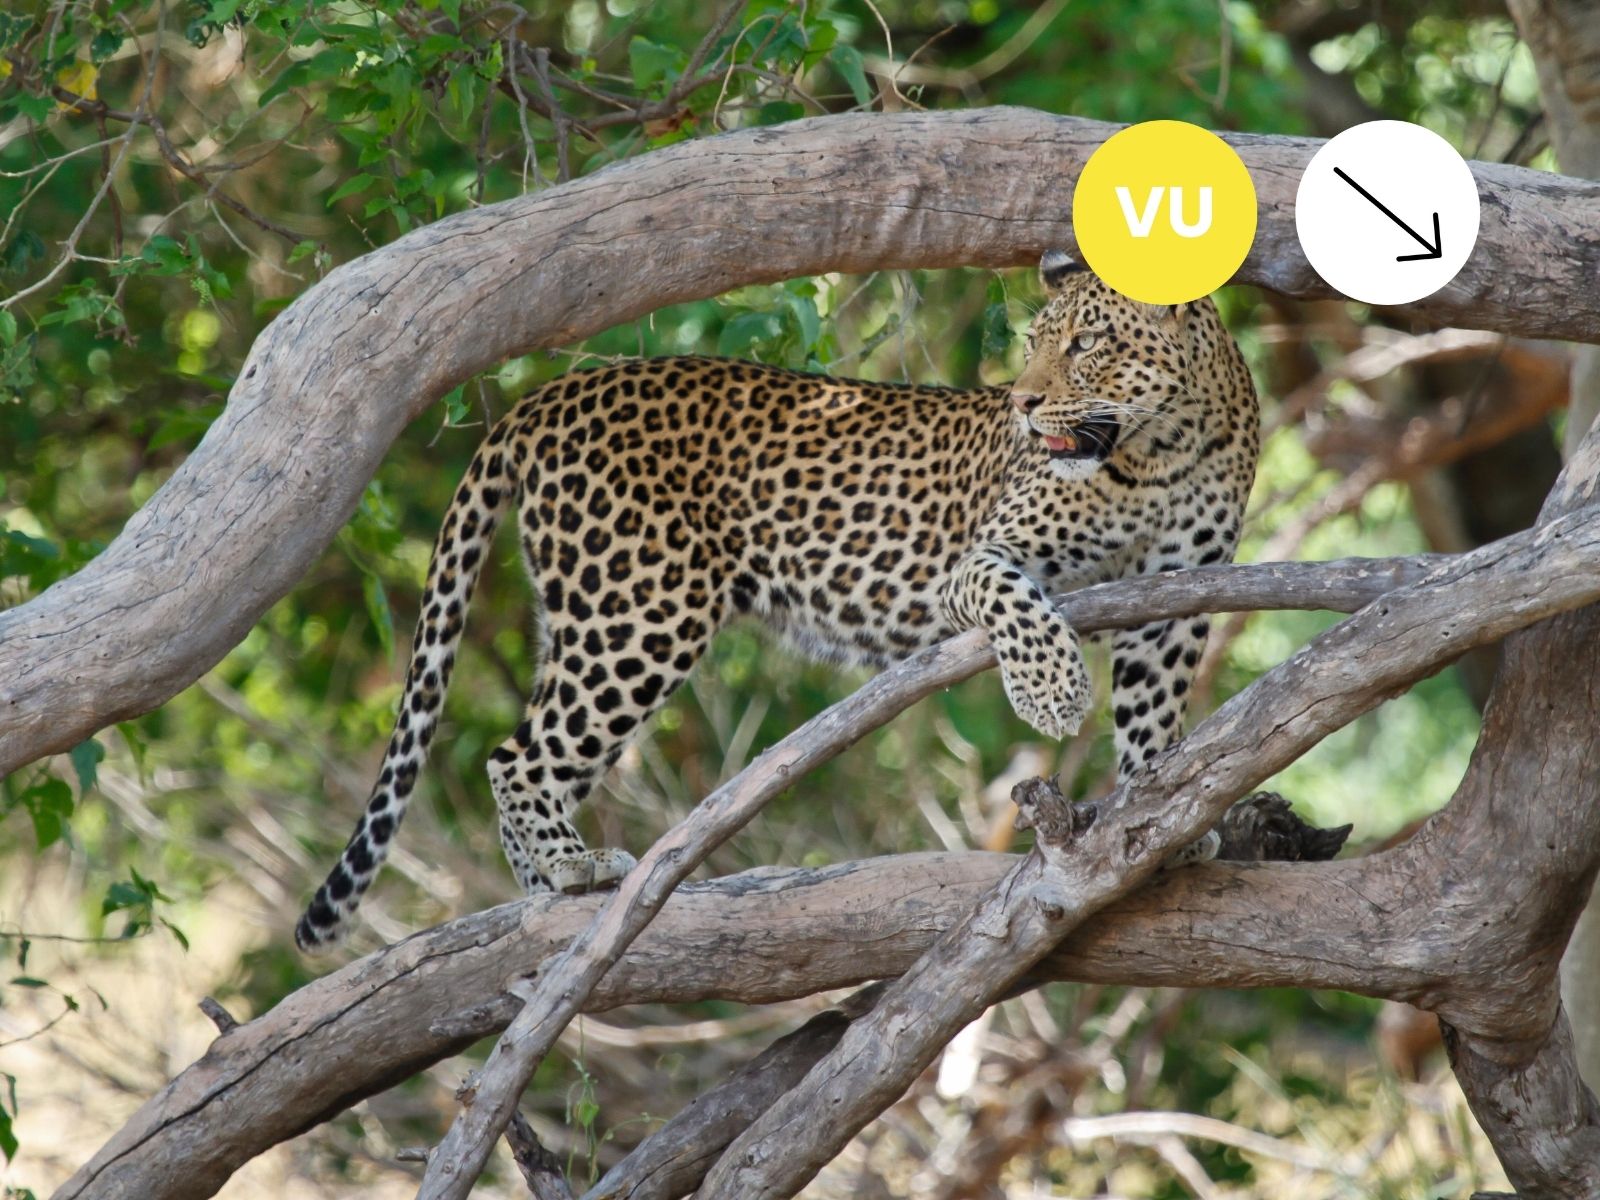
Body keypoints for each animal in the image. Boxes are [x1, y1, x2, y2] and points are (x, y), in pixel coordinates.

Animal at [294, 250, 1260, 952]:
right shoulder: (980, 558)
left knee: (532, 748)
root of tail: (549, 393)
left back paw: (541, 891)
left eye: (1089, 343)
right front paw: (1053, 694)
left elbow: (1154, 715)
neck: (1168, 446)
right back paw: (570, 871)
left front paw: (1160, 813)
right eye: (1034, 340)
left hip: (588, 612)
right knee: (517, 755)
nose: (1024, 402)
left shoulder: (1179, 597)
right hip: (640, 612)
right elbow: (1018, 606)